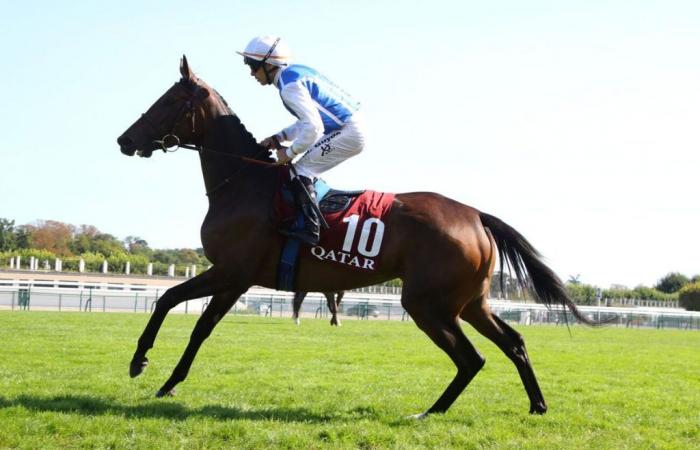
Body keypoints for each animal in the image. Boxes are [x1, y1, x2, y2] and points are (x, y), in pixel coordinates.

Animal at [117, 56, 600, 418]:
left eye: (168, 100)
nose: (125, 140)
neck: (242, 182)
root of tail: (476, 216)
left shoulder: (233, 272)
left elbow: (179, 309)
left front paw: (144, 365)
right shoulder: (234, 277)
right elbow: (187, 316)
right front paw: (162, 377)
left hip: (428, 304)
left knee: (471, 358)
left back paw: (429, 412)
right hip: (470, 302)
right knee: (513, 343)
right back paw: (535, 404)